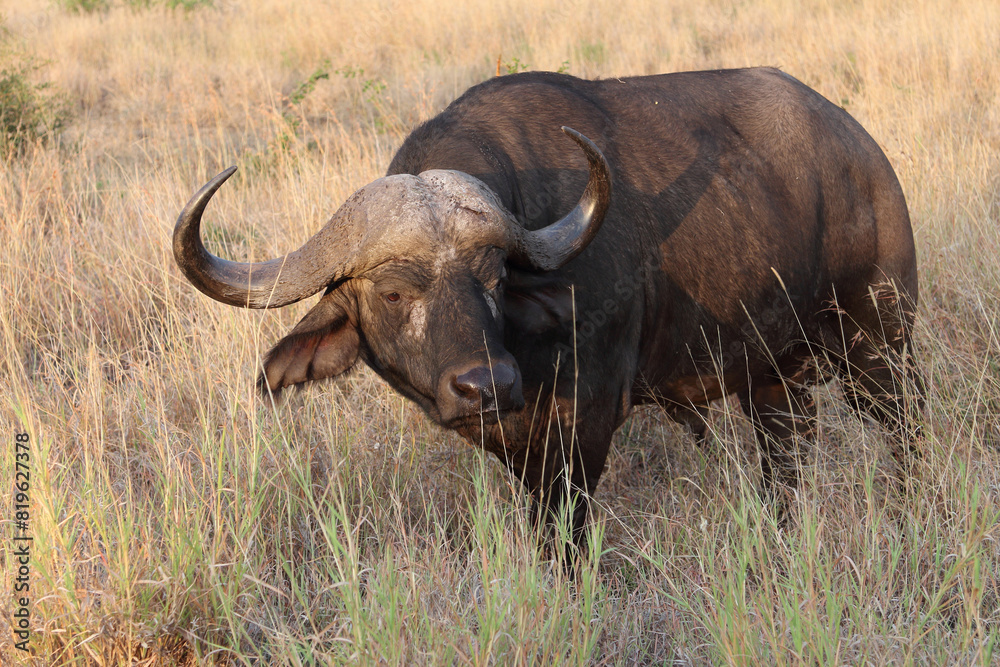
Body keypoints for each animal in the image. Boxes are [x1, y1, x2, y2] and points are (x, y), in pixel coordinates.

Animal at [174, 68, 920, 544]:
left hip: (880, 346)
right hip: (772, 376)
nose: (484, 385)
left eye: (494, 280)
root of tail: (863, 152)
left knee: (903, 433)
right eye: (393, 292)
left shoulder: (584, 430)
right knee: (786, 456)